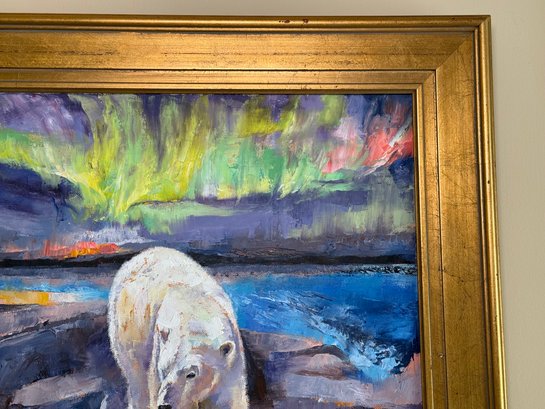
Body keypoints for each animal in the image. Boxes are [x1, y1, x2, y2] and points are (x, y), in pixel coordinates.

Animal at [108, 247, 249, 409]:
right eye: (164, 369)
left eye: (191, 374)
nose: (165, 405)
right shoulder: (156, 355)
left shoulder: (231, 367)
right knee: (136, 378)